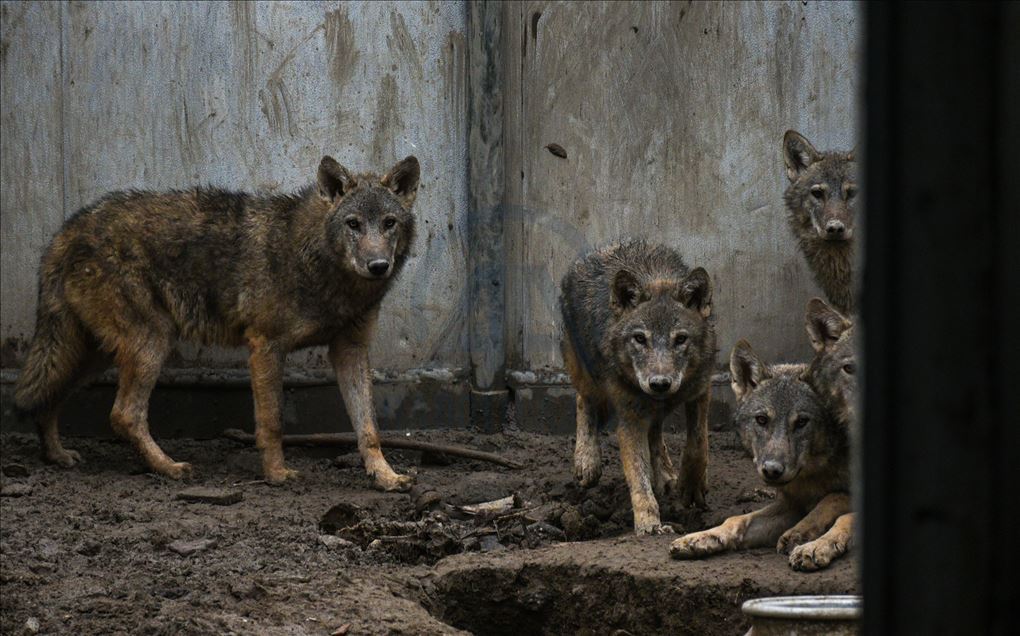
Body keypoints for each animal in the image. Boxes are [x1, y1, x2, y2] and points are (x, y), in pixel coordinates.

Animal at [12, 154, 418, 491]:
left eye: (389, 223)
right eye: (353, 224)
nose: (378, 266)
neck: (321, 266)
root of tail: (68, 229)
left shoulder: (350, 350)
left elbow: (368, 428)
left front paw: (385, 476)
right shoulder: (265, 346)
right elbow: (272, 421)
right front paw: (276, 475)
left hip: (93, 354)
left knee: (50, 396)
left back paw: (58, 456)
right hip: (149, 344)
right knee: (123, 415)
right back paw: (169, 468)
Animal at [558, 240, 718, 534]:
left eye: (680, 339)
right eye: (640, 339)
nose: (659, 384)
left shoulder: (701, 389)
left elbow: (698, 441)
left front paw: (690, 485)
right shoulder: (630, 419)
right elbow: (639, 478)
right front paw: (649, 524)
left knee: (655, 431)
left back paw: (665, 473)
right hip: (587, 375)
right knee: (583, 400)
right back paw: (587, 459)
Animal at [669, 338, 852, 570]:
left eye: (802, 422)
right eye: (762, 420)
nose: (772, 470)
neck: (817, 474)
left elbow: (835, 503)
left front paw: (808, 540)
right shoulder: (791, 504)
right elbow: (737, 519)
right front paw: (699, 538)